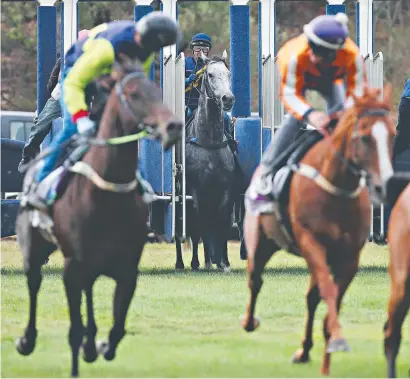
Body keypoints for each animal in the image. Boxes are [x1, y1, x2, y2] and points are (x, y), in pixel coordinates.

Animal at [15, 58, 183, 378]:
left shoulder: (127, 269)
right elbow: (74, 327)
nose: (173, 126)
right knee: (33, 284)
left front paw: (101, 345)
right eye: (133, 94)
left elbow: (117, 328)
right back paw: (27, 340)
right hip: (36, 246)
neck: (109, 189)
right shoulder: (73, 265)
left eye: (158, 91)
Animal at [175, 51, 239, 270]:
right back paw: (183, 262)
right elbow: (197, 227)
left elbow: (221, 224)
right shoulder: (194, 192)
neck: (209, 142)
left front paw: (223, 262)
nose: (228, 98)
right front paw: (196, 261)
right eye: (210, 74)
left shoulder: (226, 191)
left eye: (228, 74)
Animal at [242, 85, 396, 378]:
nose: (384, 185)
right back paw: (249, 322)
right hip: (261, 242)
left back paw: (304, 350)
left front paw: (328, 353)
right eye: (364, 137)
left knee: (311, 297)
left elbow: (330, 298)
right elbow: (327, 292)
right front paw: (335, 342)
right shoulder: (312, 243)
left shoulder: (349, 257)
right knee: (256, 280)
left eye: (392, 135)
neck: (336, 187)